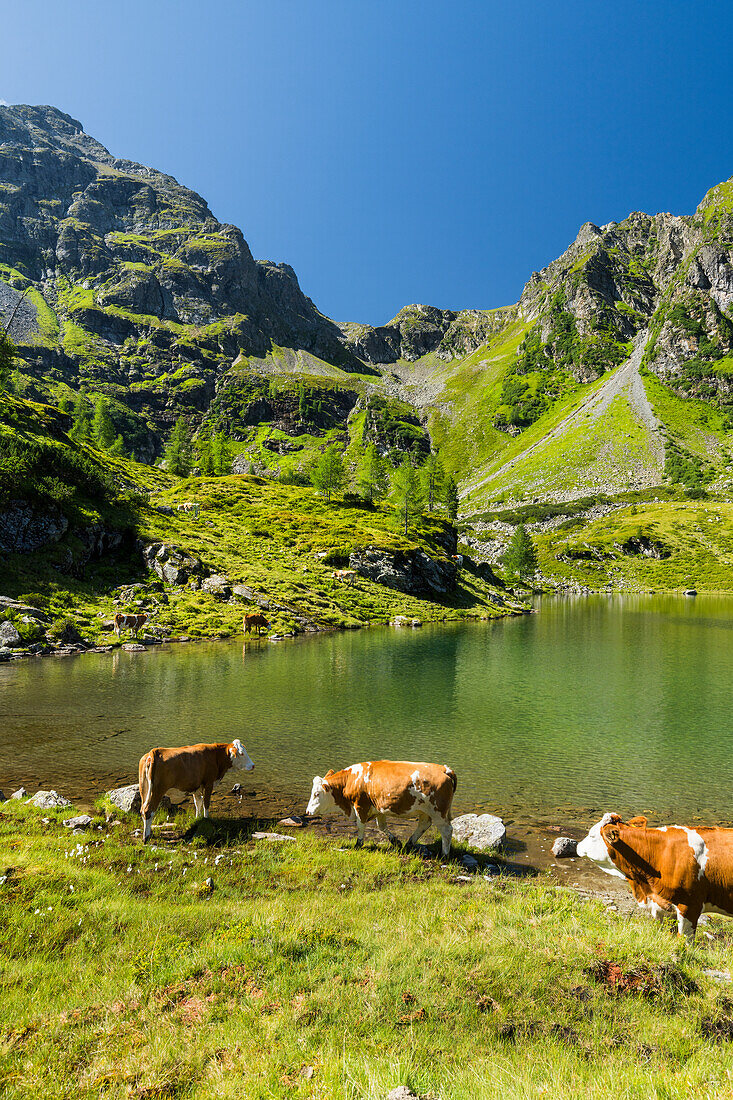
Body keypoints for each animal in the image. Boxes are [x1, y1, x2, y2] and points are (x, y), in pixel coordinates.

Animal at [303, 761, 453, 853]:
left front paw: (358, 844)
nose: (308, 811)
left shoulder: (360, 806)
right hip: (425, 811)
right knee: (423, 825)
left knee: (446, 830)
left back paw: (444, 854)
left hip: (438, 812)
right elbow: (381, 826)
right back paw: (409, 843)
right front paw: (395, 842)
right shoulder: (378, 807)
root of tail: (445, 769)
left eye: (316, 794)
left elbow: (360, 826)